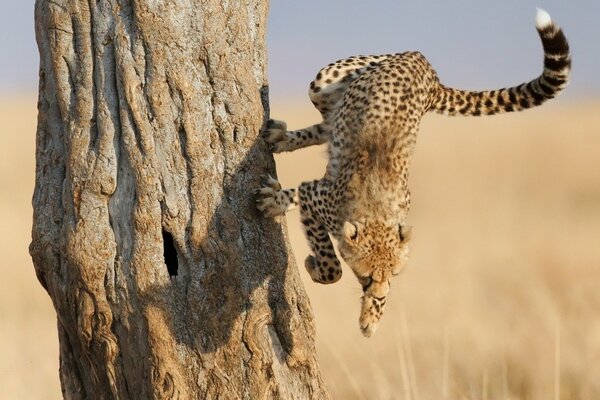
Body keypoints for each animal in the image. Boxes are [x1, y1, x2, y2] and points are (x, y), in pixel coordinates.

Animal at [255, 8, 568, 338]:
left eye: (392, 274)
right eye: (366, 276)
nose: (379, 294)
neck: (376, 212)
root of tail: (427, 68)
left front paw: (371, 317)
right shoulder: (316, 195)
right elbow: (331, 265)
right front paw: (307, 252)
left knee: (329, 124)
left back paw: (282, 139)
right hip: (325, 79)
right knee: (327, 122)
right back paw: (282, 141)